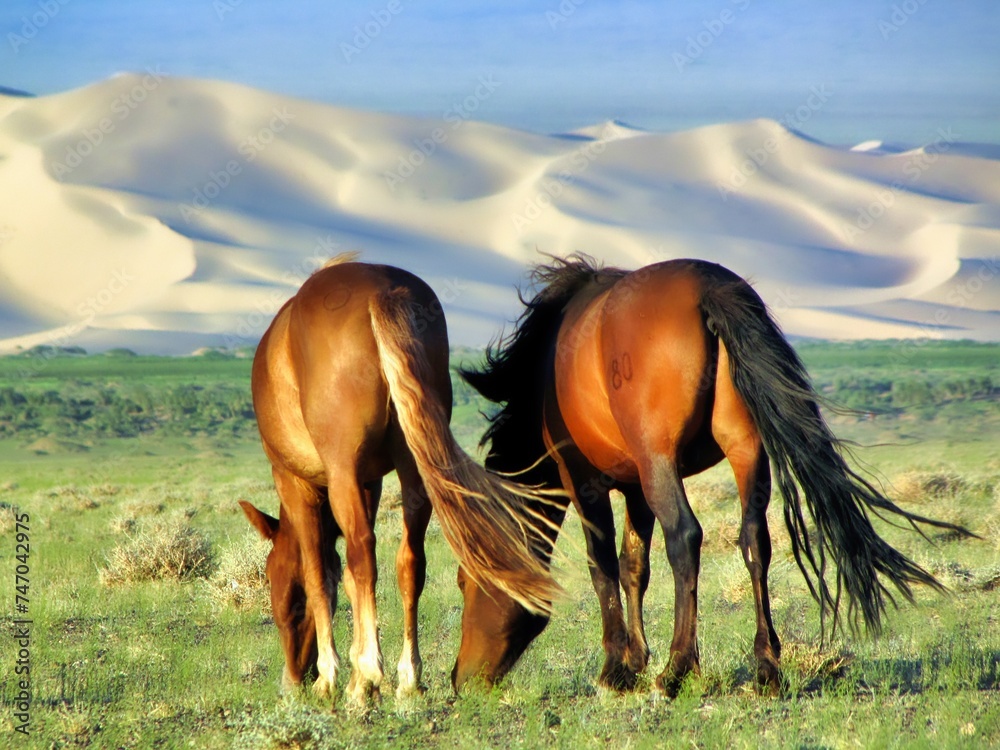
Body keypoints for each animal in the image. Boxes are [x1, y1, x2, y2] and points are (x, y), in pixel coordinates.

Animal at [238, 258, 560, 704]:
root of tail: (379, 293)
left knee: (364, 553)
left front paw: (332, 676)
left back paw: (367, 676)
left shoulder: (296, 483)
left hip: (344, 473)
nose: (290, 682)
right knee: (411, 562)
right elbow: (348, 579)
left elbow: (320, 575)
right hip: (413, 470)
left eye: (271, 577)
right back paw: (408, 678)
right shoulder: (370, 483)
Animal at [454, 258, 968, 700]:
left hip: (663, 464)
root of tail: (709, 289)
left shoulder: (586, 480)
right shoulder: (635, 486)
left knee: (685, 538)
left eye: (463, 582)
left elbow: (603, 567)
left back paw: (678, 670)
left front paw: (617, 669)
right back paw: (766, 670)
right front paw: (636, 659)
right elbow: (633, 567)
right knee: (755, 540)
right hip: (745, 451)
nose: (461, 680)